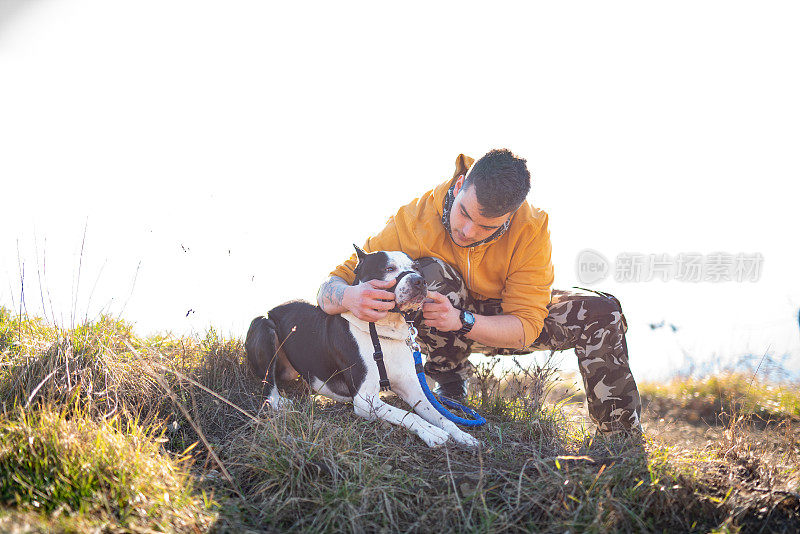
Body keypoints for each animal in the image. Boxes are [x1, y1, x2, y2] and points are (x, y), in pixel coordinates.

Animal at [244, 249, 478, 450]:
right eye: (388, 268)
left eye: (416, 268)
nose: (419, 281)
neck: (384, 333)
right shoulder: (365, 399)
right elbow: (409, 415)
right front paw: (431, 433)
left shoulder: (413, 389)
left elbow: (441, 415)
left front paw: (461, 434)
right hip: (265, 326)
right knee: (268, 385)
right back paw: (278, 401)